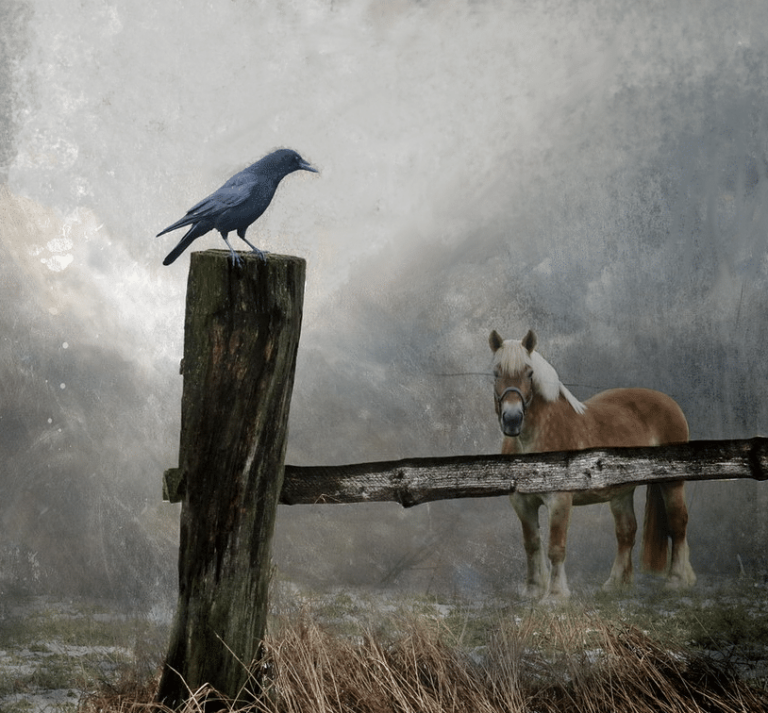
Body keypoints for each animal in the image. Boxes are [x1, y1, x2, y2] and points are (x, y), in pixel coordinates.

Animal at [489, 329, 696, 600]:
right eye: (495, 373)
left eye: (529, 373)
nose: (512, 420)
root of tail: (670, 404)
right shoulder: (522, 503)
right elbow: (531, 544)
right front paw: (533, 590)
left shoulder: (560, 500)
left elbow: (556, 547)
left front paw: (555, 596)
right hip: (622, 492)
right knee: (626, 532)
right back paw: (615, 585)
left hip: (672, 483)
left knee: (677, 524)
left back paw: (677, 581)